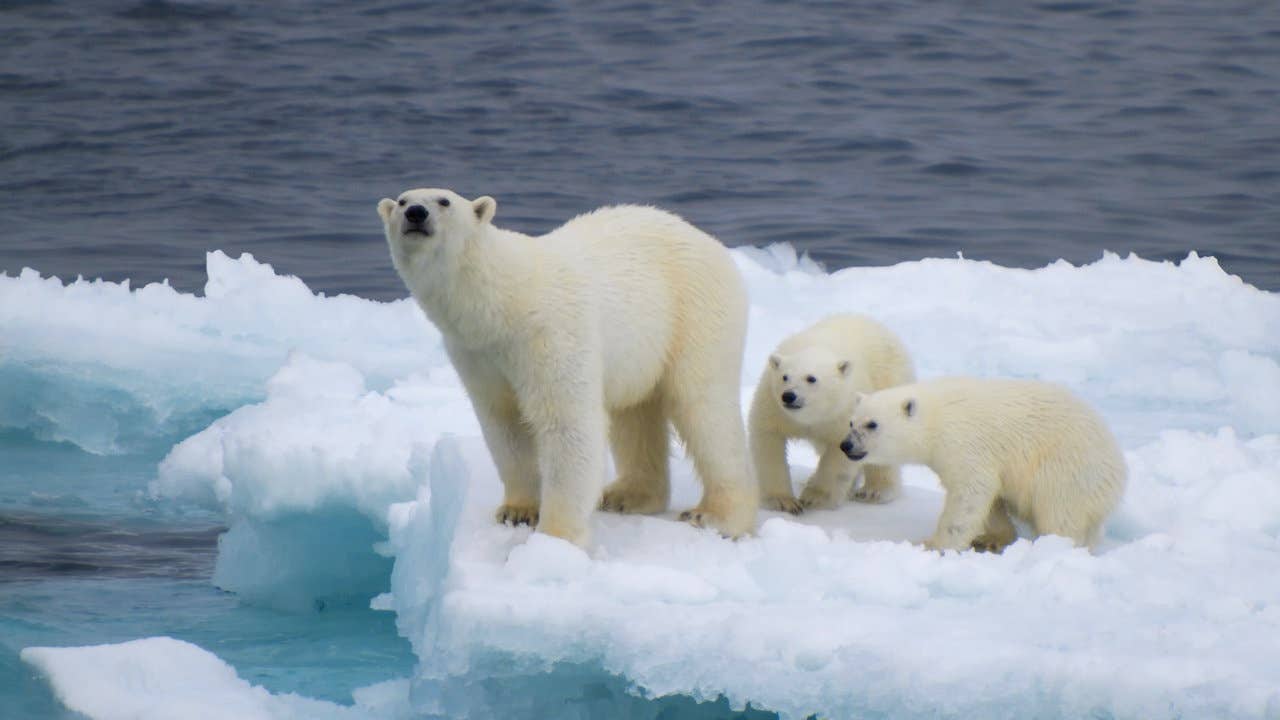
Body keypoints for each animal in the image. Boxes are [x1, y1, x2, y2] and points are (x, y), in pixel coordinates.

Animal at [373, 188, 752, 545]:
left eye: (444, 201)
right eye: (403, 200)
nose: (415, 213)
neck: (504, 301)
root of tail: (709, 241)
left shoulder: (550, 334)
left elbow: (567, 423)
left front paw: (556, 536)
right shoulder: (477, 354)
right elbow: (504, 423)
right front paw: (517, 510)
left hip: (695, 311)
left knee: (704, 408)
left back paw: (717, 515)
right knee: (635, 414)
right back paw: (627, 495)